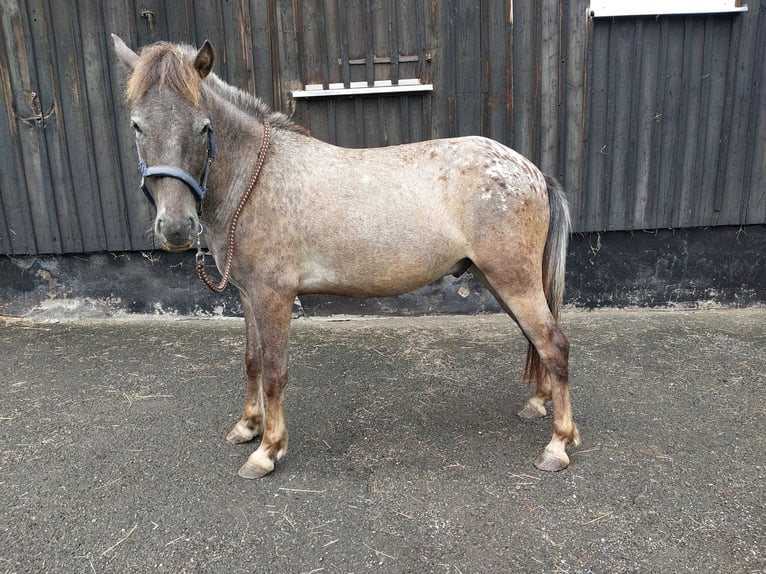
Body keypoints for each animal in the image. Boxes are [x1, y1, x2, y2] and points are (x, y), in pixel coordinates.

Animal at [112, 33, 584, 480]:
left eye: (203, 127)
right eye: (137, 126)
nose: (176, 228)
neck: (257, 179)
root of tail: (531, 171)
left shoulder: (274, 297)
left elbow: (274, 371)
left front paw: (268, 450)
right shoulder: (247, 294)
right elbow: (252, 361)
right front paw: (248, 427)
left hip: (512, 280)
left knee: (554, 345)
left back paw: (558, 444)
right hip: (499, 280)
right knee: (538, 342)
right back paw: (537, 404)